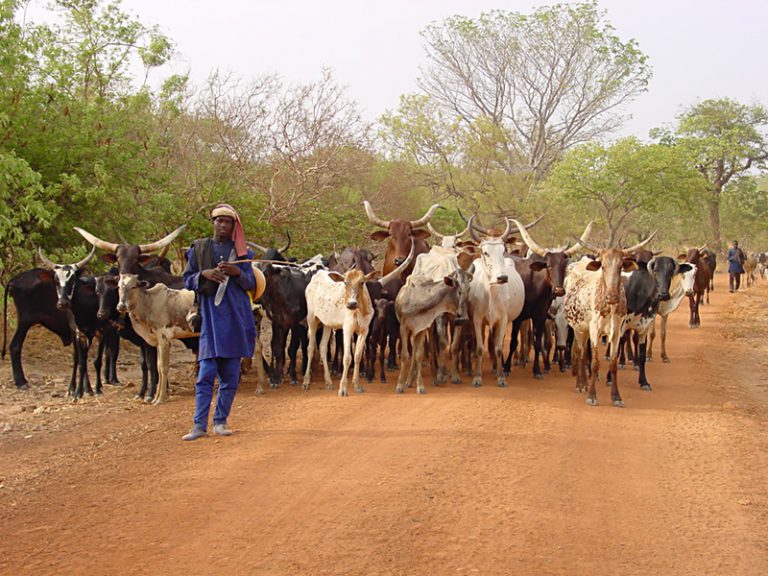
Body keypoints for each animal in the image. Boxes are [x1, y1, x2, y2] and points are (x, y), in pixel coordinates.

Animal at [304, 245, 416, 394]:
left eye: (362, 283)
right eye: (345, 283)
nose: (351, 304)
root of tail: (317, 276)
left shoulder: (364, 330)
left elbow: (357, 355)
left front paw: (357, 383)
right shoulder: (347, 329)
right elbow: (347, 357)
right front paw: (343, 388)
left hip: (327, 323)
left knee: (322, 347)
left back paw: (328, 382)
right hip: (312, 319)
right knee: (310, 348)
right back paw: (306, 381)